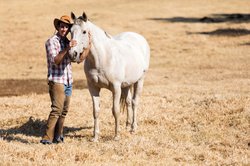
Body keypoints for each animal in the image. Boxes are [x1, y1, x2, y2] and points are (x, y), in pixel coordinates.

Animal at [68, 12, 150, 141]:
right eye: (70, 31)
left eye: (84, 32)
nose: (72, 54)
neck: (102, 58)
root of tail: (139, 37)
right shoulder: (93, 88)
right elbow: (96, 111)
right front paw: (95, 137)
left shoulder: (116, 88)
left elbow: (115, 111)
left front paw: (116, 136)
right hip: (126, 85)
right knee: (128, 102)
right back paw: (127, 126)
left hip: (140, 80)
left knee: (135, 102)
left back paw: (133, 128)